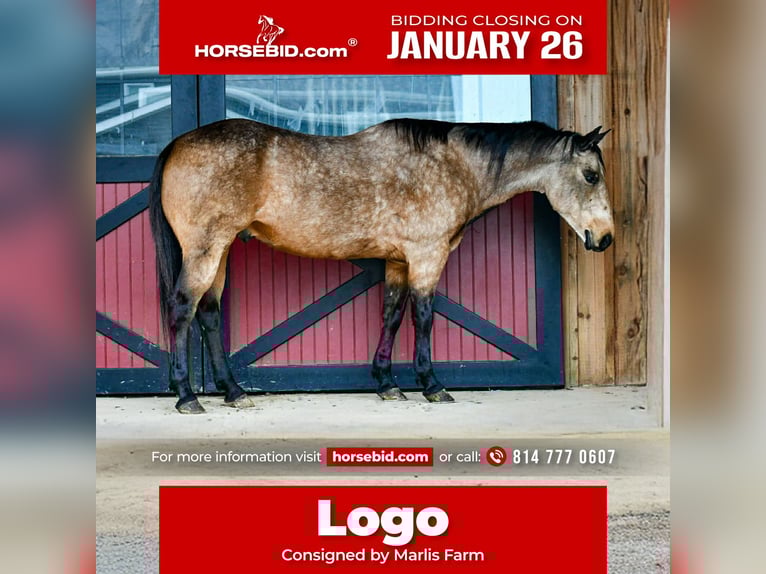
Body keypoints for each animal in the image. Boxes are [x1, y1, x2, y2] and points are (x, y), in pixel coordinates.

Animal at [148, 118, 613, 414]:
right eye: (591, 175)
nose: (605, 237)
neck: (452, 165)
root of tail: (177, 143)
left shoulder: (397, 261)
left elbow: (391, 315)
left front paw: (388, 384)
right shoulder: (427, 255)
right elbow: (423, 318)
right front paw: (432, 385)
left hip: (222, 250)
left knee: (208, 313)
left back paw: (233, 391)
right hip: (205, 249)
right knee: (182, 308)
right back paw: (187, 396)